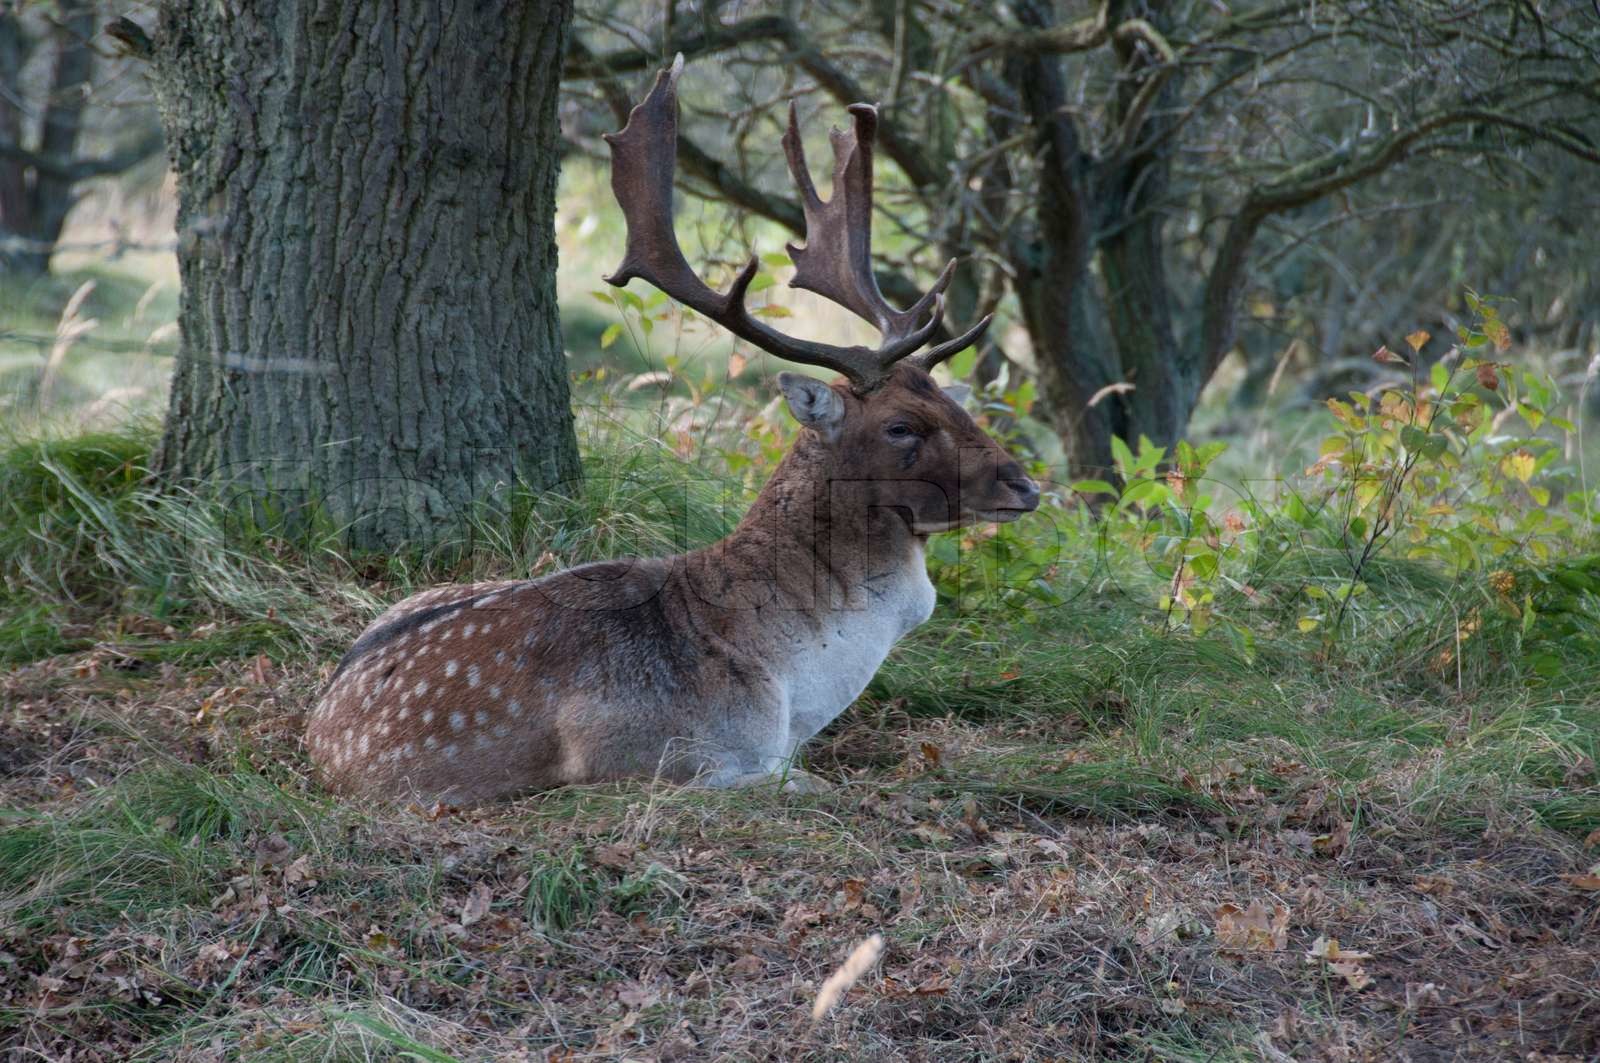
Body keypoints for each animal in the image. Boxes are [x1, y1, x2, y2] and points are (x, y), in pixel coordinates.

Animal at [305, 56, 1040, 804]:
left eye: (953, 403)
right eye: (900, 425)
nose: (1025, 484)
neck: (786, 697)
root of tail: (315, 728)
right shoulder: (653, 755)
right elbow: (802, 785)